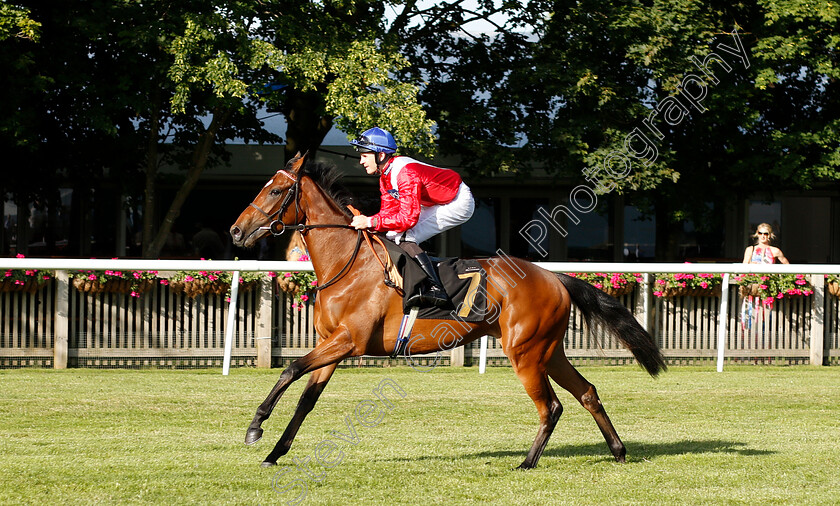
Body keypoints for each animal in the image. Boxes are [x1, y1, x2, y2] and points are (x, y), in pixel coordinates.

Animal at [230, 154, 664, 470]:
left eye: (277, 190)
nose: (236, 231)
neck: (347, 264)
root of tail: (555, 277)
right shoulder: (332, 345)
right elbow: (306, 398)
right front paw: (274, 452)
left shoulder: (348, 341)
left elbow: (289, 369)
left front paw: (255, 427)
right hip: (548, 350)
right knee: (587, 392)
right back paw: (618, 451)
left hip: (525, 353)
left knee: (551, 406)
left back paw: (527, 462)